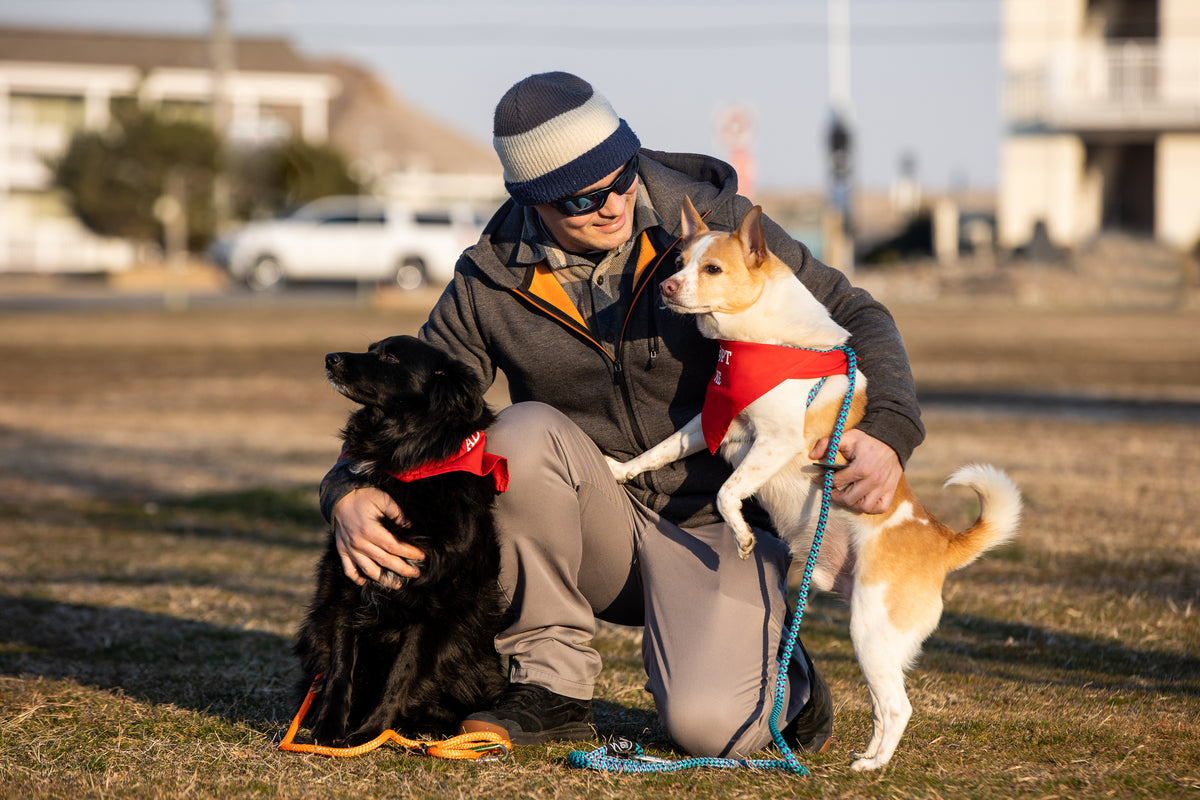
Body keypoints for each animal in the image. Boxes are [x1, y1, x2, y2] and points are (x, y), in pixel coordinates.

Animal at [296, 335, 511, 748]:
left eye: (392, 357)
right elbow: (340, 668)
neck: (402, 458)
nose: (330, 358)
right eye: (371, 349)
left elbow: (401, 675)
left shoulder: (432, 608)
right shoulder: (349, 584)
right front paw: (329, 729)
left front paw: (371, 733)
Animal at [609, 196, 1022, 772]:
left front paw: (741, 535)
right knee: (881, 706)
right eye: (678, 263)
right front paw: (619, 470)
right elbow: (661, 450)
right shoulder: (709, 424)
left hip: (870, 631)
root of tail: (942, 541)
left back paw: (872, 766)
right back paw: (863, 754)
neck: (760, 341)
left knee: (898, 707)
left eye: (712, 269)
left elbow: (727, 492)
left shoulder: (776, 442)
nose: (666, 288)